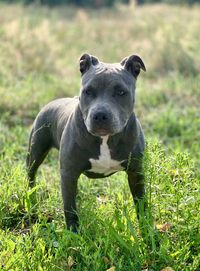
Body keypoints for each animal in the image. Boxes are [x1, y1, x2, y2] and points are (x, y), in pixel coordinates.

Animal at [26, 54, 146, 233]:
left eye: (121, 92)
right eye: (88, 91)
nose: (100, 115)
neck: (105, 139)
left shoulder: (136, 173)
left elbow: (142, 205)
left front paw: (148, 230)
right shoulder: (68, 174)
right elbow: (69, 207)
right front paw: (74, 233)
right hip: (36, 152)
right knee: (31, 176)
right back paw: (31, 201)